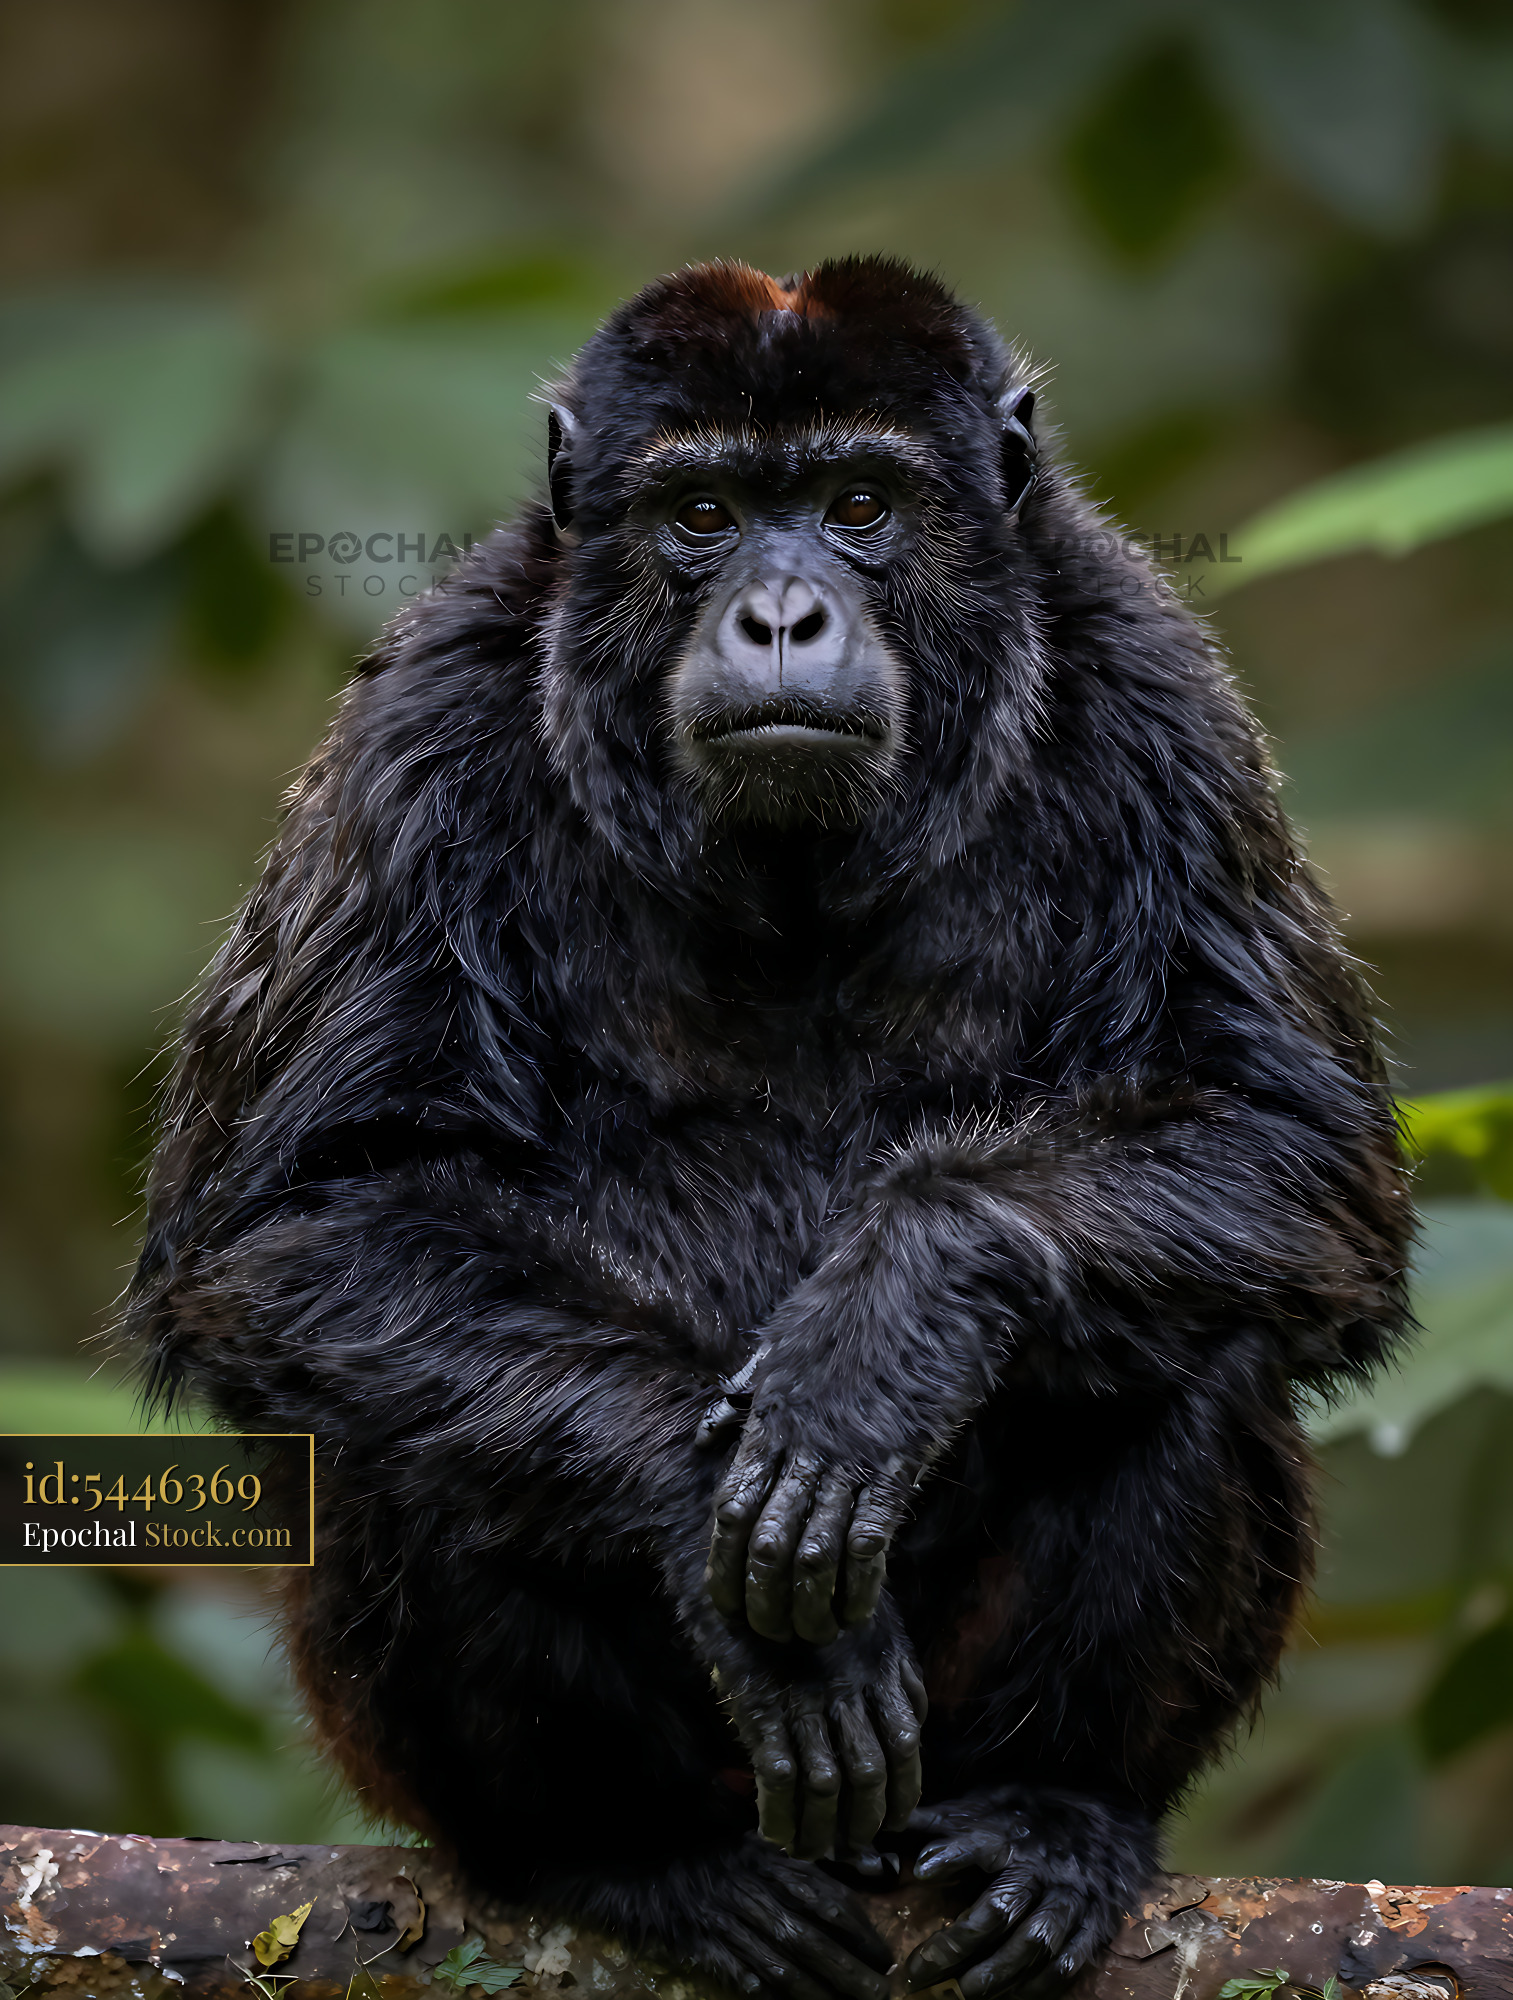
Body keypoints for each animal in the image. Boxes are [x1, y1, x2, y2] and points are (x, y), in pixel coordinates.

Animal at [126, 258, 1412, 2000]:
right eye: (704, 513)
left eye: (859, 504)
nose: (783, 613)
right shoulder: (418, 730)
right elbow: (298, 1219)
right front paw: (698, 1509)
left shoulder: (1166, 706)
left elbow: (1293, 1148)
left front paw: (892, 1326)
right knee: (388, 1412)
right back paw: (627, 1855)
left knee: (1193, 1346)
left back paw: (1056, 1816)